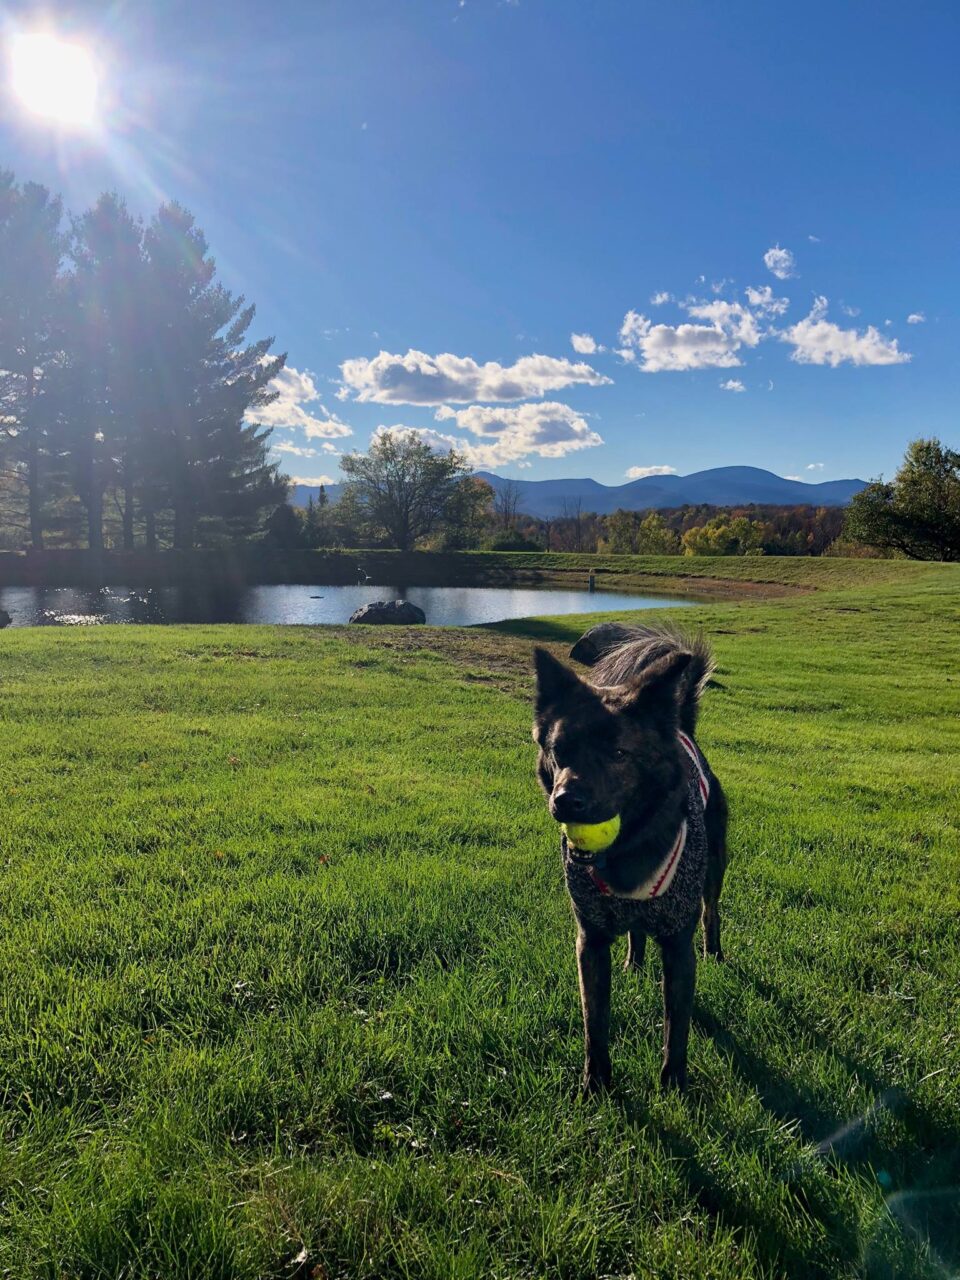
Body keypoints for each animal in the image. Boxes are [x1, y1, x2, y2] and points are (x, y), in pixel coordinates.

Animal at [535, 619, 727, 1090]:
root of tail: (682, 728)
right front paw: (596, 1085)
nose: (566, 802)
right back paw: (634, 964)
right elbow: (595, 1022)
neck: (627, 852)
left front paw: (674, 1086)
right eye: (559, 750)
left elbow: (677, 1027)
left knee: (712, 910)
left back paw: (715, 952)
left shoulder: (677, 944)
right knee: (636, 932)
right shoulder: (590, 942)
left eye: (619, 753)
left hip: (715, 866)